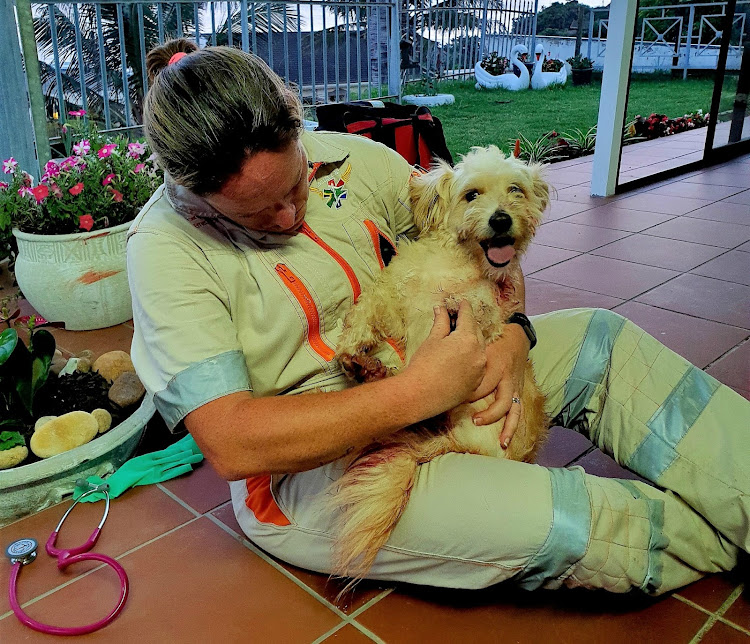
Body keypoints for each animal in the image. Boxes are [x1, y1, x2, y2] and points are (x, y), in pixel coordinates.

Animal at [334, 146, 552, 584]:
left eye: (515, 190)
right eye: (472, 195)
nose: (501, 219)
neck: (452, 265)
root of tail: (464, 443)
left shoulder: (473, 318)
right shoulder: (395, 295)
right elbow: (365, 310)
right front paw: (352, 351)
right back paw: (372, 371)